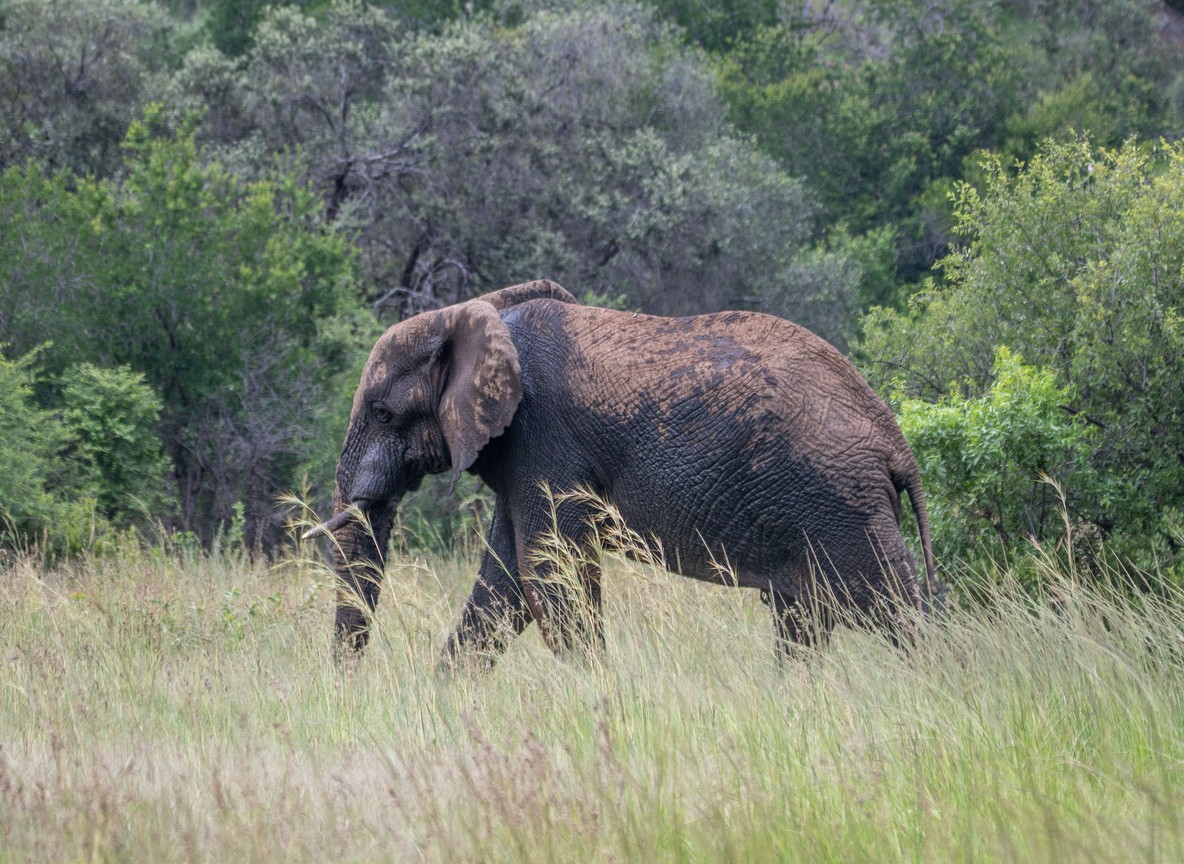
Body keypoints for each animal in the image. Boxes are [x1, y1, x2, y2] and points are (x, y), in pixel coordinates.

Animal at [305, 280, 939, 665]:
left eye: (383, 413)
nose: (350, 690)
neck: (481, 313)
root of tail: (895, 442)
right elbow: (505, 586)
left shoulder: (543, 436)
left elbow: (549, 580)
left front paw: (598, 696)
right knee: (804, 621)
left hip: (840, 503)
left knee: (898, 608)